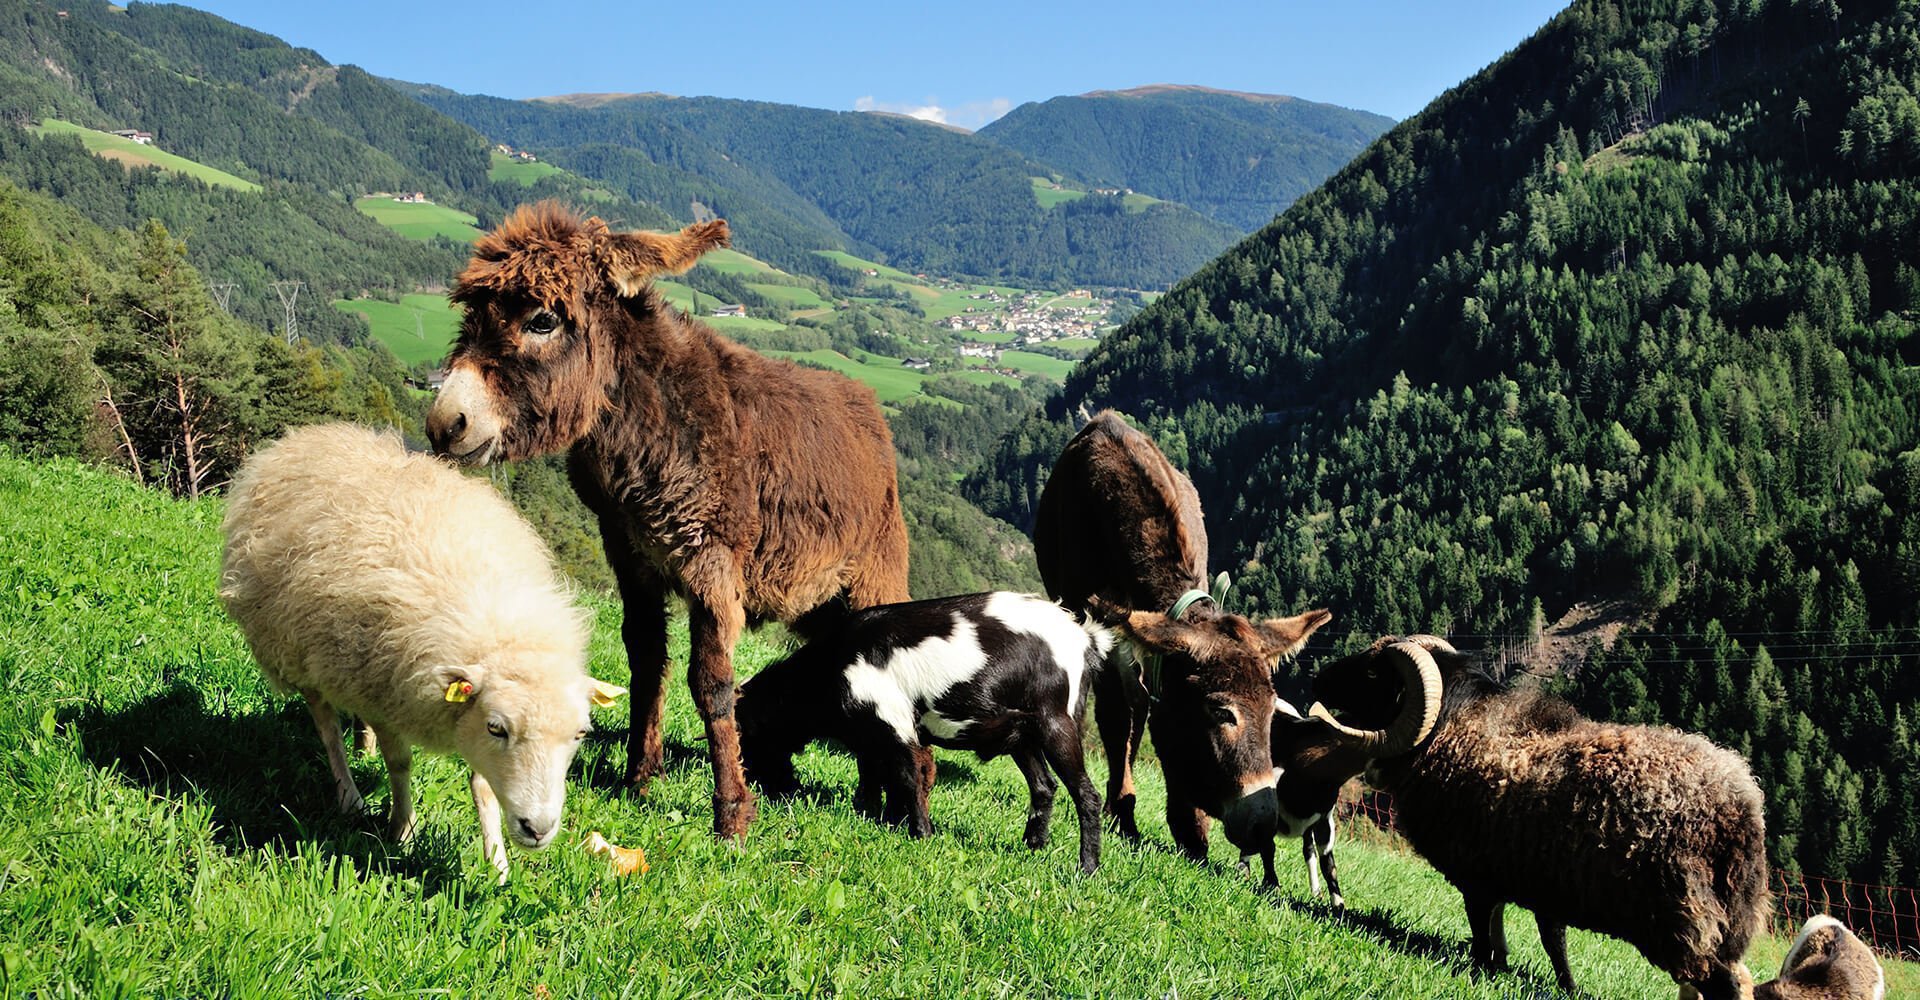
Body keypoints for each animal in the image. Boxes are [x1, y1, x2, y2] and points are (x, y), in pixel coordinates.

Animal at [219, 424, 622, 879]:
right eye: (497, 728)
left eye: (581, 734)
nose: (537, 828)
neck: (495, 625)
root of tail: (314, 436)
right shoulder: (389, 696)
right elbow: (400, 765)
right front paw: (403, 831)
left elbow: (482, 786)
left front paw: (497, 863)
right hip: (298, 651)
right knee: (325, 724)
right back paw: (349, 795)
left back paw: (363, 747)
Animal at [741, 587, 1121, 867]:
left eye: (750, 738)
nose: (771, 789)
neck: (833, 665)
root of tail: (1086, 639)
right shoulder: (871, 735)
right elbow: (873, 776)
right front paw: (878, 818)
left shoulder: (896, 723)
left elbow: (907, 777)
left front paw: (920, 833)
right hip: (1022, 735)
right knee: (1043, 786)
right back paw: (1032, 845)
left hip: (1057, 723)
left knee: (1087, 794)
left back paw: (1087, 867)